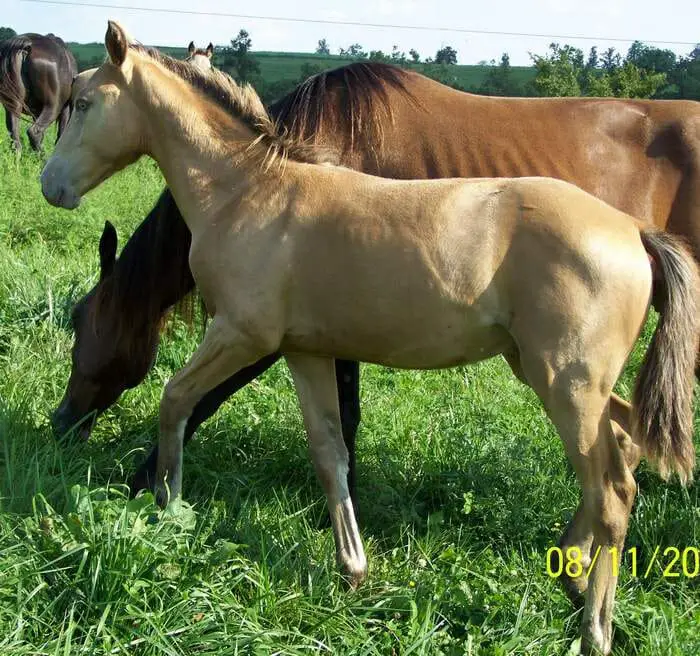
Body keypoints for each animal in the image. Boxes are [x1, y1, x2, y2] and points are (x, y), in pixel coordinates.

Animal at [42, 23, 700, 652]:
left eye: (84, 102)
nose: (51, 187)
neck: (249, 192)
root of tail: (634, 231)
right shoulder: (305, 351)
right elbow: (330, 450)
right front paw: (353, 568)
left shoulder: (242, 336)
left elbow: (177, 400)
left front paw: (167, 500)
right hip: (562, 377)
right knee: (629, 443)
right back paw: (570, 571)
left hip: (566, 385)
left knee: (612, 490)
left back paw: (595, 629)